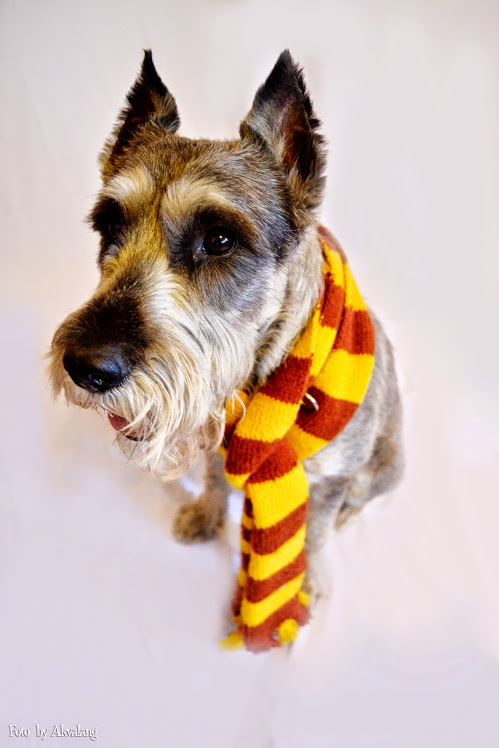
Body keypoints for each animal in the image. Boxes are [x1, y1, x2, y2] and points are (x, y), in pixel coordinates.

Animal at [49, 49, 403, 630]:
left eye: (219, 239)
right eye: (109, 226)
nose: (85, 366)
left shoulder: (329, 476)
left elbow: (317, 531)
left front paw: (311, 580)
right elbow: (215, 476)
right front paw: (206, 515)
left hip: (391, 463)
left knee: (359, 497)